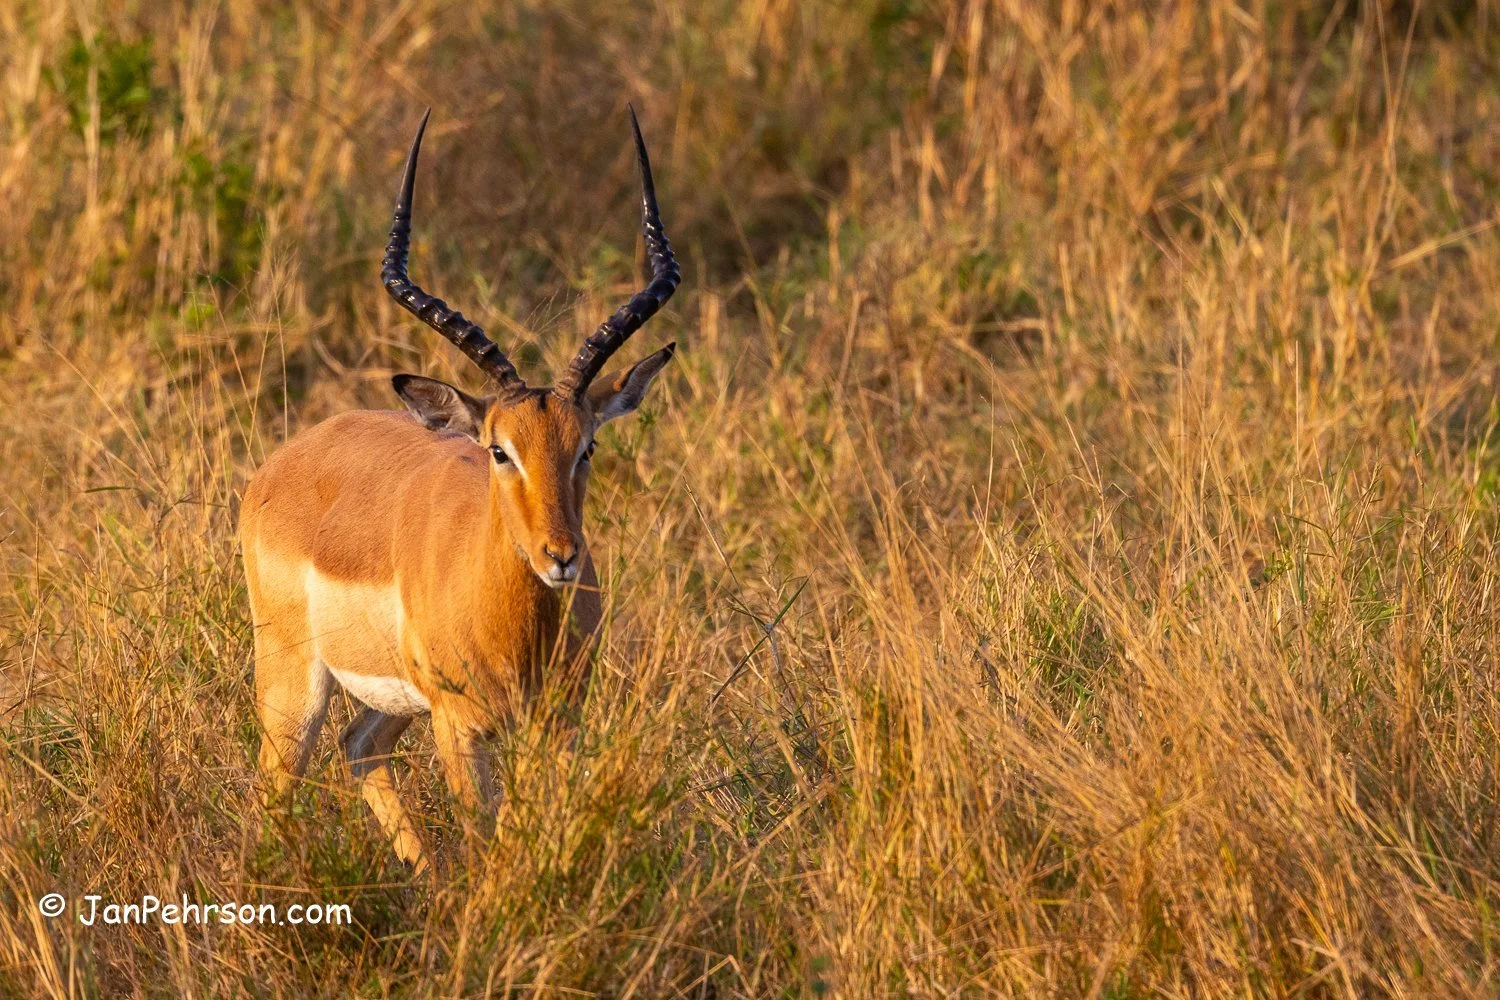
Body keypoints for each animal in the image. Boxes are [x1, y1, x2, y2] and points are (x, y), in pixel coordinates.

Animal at [239, 108, 679, 870]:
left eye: (586, 447)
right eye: (500, 450)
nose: (562, 556)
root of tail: (285, 462)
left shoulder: (555, 727)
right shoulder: (461, 727)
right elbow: (484, 839)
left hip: (393, 701)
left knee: (359, 748)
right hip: (296, 685)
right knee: (278, 790)